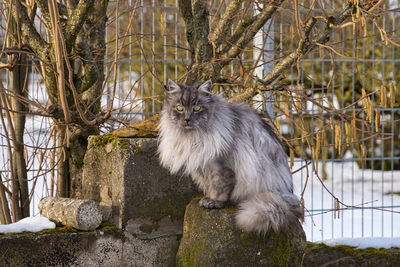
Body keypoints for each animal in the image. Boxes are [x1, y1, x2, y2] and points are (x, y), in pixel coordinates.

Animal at [158, 80, 302, 234]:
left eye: (197, 108)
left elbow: (220, 186)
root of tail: (287, 193)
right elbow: (210, 185)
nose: (187, 119)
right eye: (179, 108)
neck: (192, 137)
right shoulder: (203, 167)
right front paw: (207, 198)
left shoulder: (220, 166)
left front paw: (214, 202)